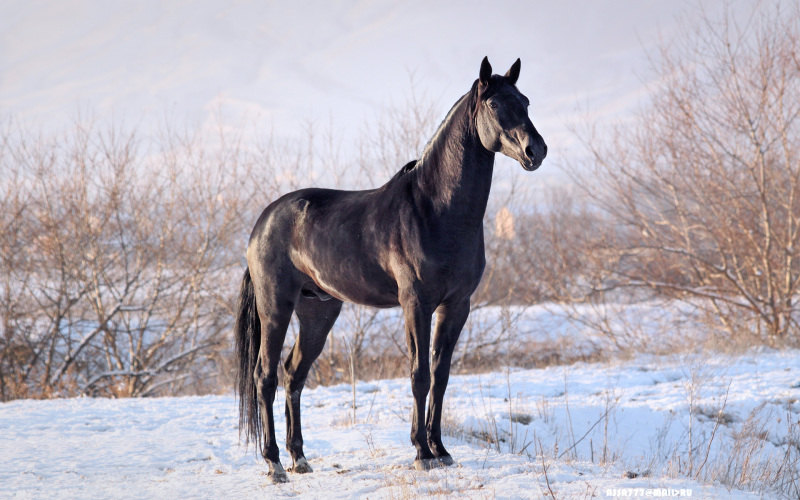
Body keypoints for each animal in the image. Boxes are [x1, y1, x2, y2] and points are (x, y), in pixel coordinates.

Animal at [234, 56, 548, 482]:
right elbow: (419, 373)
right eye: (495, 104)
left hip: (318, 311)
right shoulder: (416, 303)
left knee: (293, 374)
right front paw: (422, 453)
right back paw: (274, 463)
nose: (537, 150)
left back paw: (299, 458)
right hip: (275, 309)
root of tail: (263, 222)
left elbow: (441, 374)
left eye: (526, 101)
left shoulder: (456, 305)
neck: (435, 210)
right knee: (265, 376)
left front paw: (441, 449)